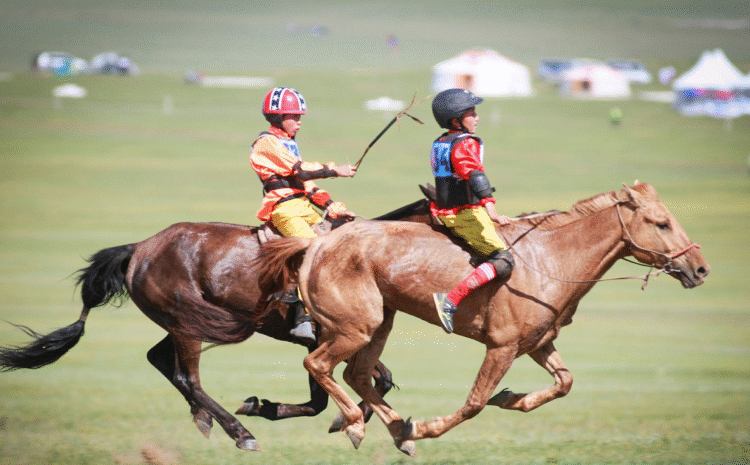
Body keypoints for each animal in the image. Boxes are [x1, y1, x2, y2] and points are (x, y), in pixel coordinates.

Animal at [0, 200, 434, 451]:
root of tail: (139, 248)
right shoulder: (324, 339)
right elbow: (325, 395)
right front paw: (269, 409)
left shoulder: (341, 340)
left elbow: (374, 380)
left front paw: (363, 422)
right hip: (187, 323)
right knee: (187, 376)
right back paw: (239, 432)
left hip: (181, 322)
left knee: (159, 358)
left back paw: (204, 417)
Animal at [255, 182, 710, 456]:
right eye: (661, 223)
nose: (700, 269)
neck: (550, 260)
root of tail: (316, 245)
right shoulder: (502, 347)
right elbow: (474, 403)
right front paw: (428, 426)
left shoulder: (538, 344)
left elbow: (564, 383)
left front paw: (510, 398)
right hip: (354, 328)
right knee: (320, 364)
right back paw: (357, 426)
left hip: (380, 323)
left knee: (357, 375)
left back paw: (397, 430)